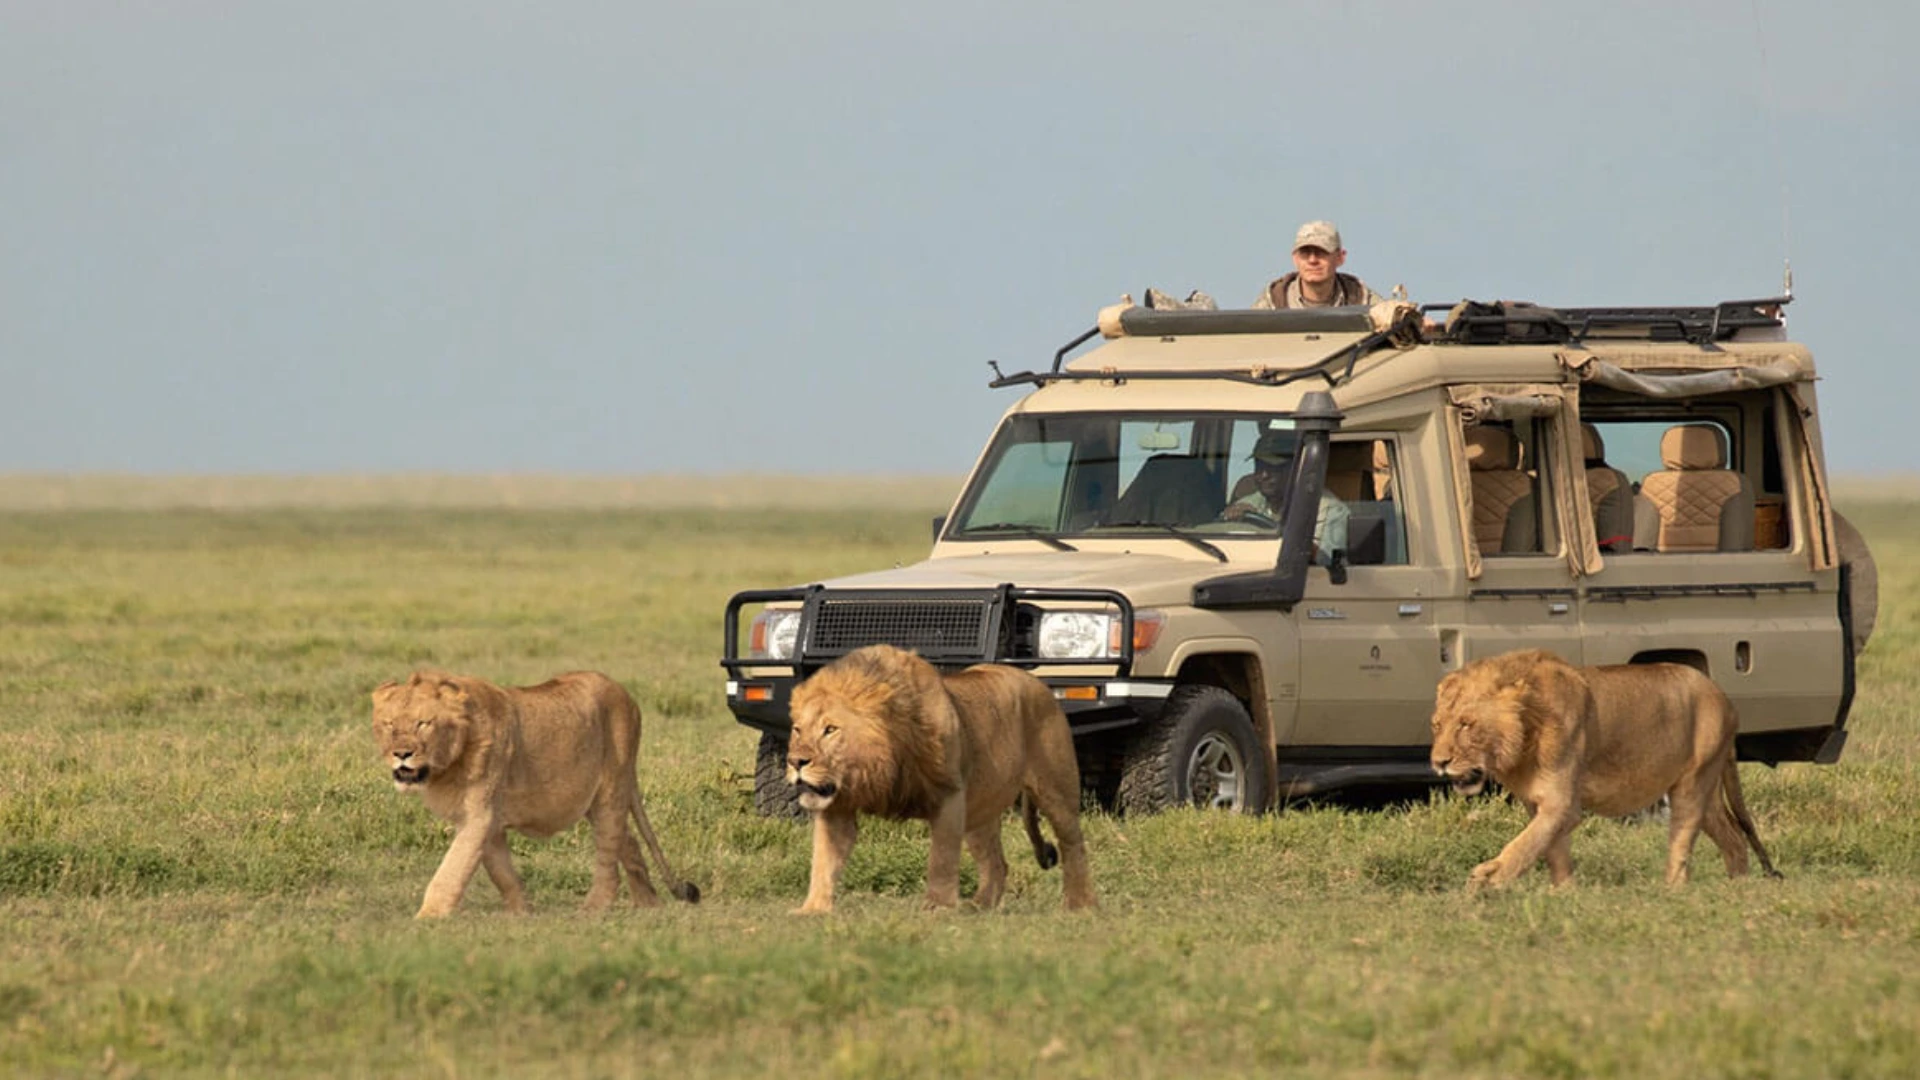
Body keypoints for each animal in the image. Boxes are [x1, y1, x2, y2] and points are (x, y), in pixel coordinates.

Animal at [366, 668, 698, 910]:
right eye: (389, 724)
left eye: (423, 723)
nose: (401, 753)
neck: (447, 765)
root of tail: (626, 695)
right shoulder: (490, 823)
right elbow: (503, 874)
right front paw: (522, 914)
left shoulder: (480, 815)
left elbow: (451, 870)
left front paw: (428, 919)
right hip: (595, 799)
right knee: (627, 840)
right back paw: (649, 904)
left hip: (611, 788)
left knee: (608, 854)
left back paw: (592, 911)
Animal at [787, 641, 1105, 910]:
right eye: (798, 730)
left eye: (830, 729)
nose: (795, 761)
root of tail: (1039, 683)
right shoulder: (837, 808)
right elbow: (823, 861)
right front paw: (812, 910)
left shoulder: (949, 794)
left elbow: (941, 858)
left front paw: (937, 908)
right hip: (980, 808)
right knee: (996, 862)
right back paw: (978, 908)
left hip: (1056, 789)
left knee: (1073, 845)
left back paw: (1080, 906)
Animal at [1436, 645, 1774, 883]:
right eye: (1438, 725)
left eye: (1466, 725)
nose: (1439, 762)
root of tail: (1725, 698)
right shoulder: (1538, 804)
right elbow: (1553, 850)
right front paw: (1563, 895)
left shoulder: (1562, 804)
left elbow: (1525, 845)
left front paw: (1487, 879)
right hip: (1707, 791)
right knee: (1734, 839)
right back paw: (1737, 890)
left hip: (1693, 785)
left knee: (1682, 842)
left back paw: (1672, 892)